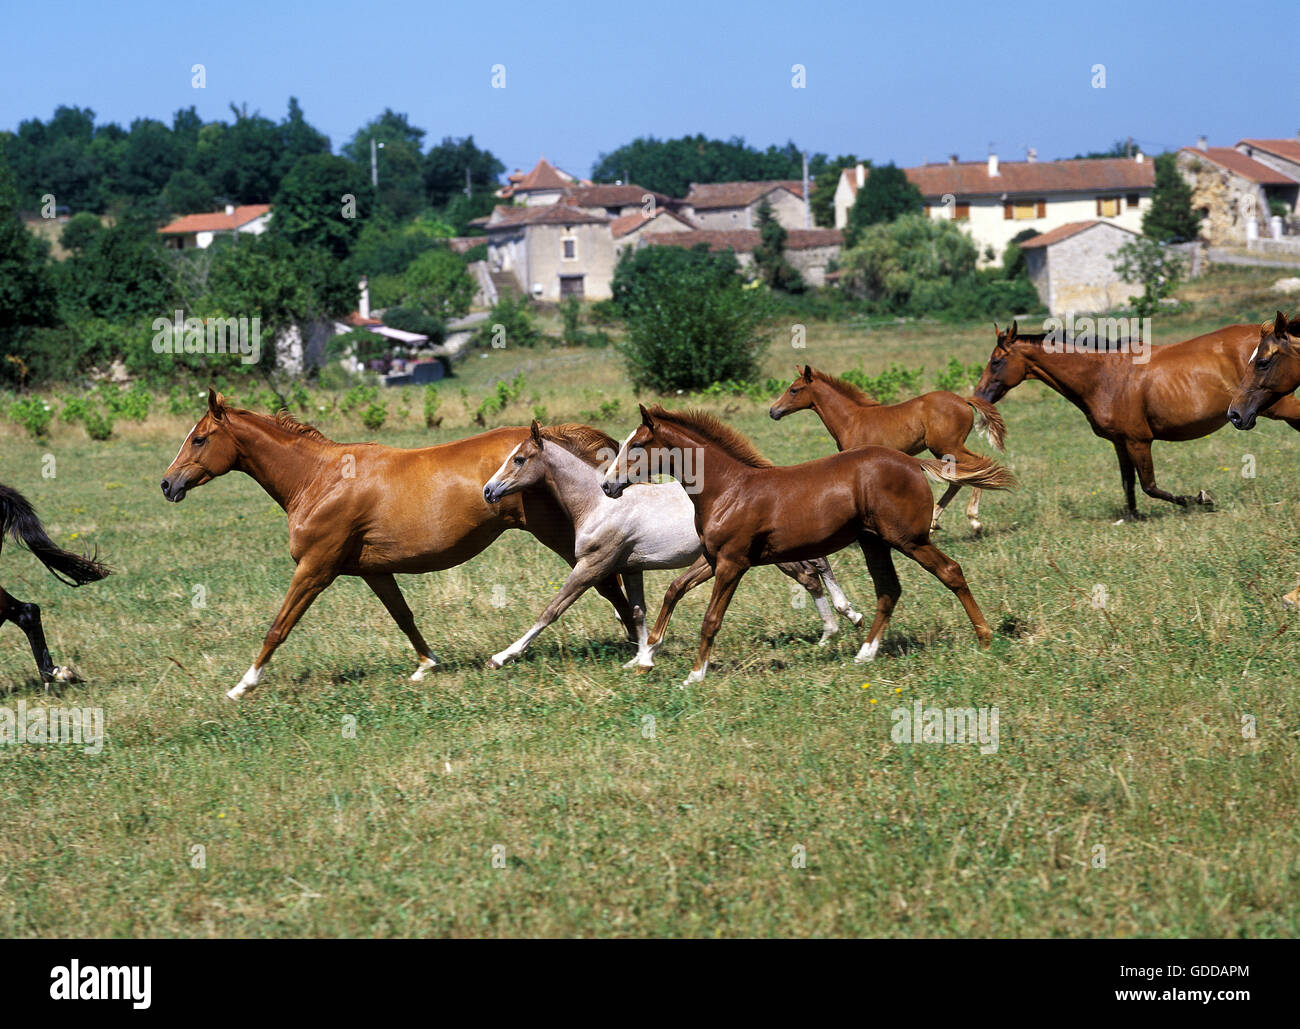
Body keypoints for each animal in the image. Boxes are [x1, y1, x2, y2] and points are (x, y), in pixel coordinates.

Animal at [161, 392, 639, 701]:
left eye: (199, 438)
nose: (167, 484)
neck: (320, 480)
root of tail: (552, 438)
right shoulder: (374, 571)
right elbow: (403, 617)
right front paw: (427, 665)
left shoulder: (315, 569)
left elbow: (279, 626)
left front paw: (243, 685)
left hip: (557, 536)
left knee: (606, 585)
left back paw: (636, 647)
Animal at [483, 420, 857, 670]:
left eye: (518, 459)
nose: (488, 490)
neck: (598, 504)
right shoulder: (631, 568)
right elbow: (638, 611)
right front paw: (641, 658)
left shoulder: (593, 566)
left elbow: (551, 609)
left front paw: (501, 657)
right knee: (812, 572)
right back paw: (836, 625)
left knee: (814, 569)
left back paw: (844, 618)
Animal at [598, 405, 1013, 686]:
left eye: (637, 445)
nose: (607, 486)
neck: (729, 489)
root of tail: (914, 464)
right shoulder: (714, 559)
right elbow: (674, 589)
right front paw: (646, 657)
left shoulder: (733, 563)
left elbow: (711, 619)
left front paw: (695, 674)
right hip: (874, 542)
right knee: (888, 590)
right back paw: (864, 654)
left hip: (908, 538)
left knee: (949, 571)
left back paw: (984, 637)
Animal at [769, 366, 1003, 535]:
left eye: (793, 390)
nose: (773, 411)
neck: (851, 420)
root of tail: (963, 400)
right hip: (944, 451)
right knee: (960, 478)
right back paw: (934, 523)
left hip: (948, 446)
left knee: (978, 466)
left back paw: (974, 521)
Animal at [977, 319, 1300, 519]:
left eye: (996, 361)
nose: (979, 395)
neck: (1103, 376)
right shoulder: (1120, 442)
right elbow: (1128, 483)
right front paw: (1131, 517)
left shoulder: (1138, 440)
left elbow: (1150, 486)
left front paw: (1200, 498)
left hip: (1274, 407)